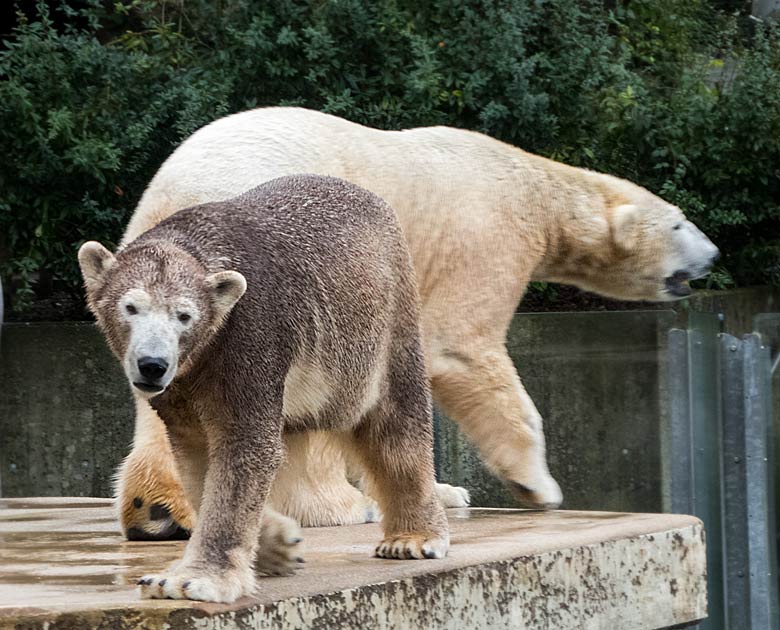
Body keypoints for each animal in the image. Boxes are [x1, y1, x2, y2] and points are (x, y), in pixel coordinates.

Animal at [116, 105, 720, 544]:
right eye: (680, 222)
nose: (713, 254)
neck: (532, 182)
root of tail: (184, 194)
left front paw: (447, 492)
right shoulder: (487, 236)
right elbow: (462, 350)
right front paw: (536, 485)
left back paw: (158, 508)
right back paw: (341, 508)